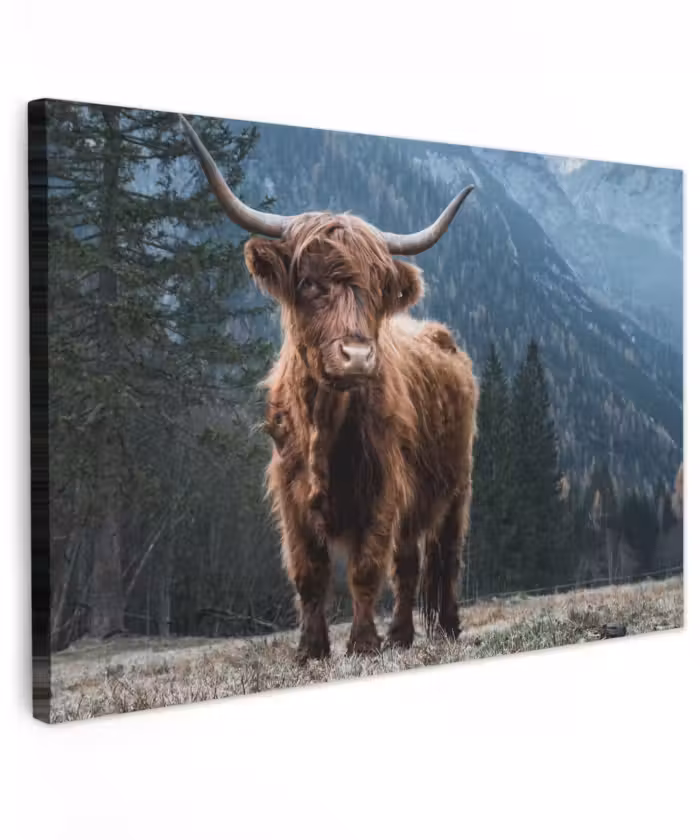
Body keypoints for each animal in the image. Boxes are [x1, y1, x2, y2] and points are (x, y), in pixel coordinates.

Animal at [181, 115, 479, 661]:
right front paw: (311, 649)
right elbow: (308, 573)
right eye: (310, 283)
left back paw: (443, 628)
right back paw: (402, 636)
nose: (357, 356)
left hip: (456, 486)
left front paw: (362, 644)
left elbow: (365, 569)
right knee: (408, 564)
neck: (324, 418)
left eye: (378, 289)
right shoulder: (290, 492)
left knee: (444, 557)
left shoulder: (383, 487)